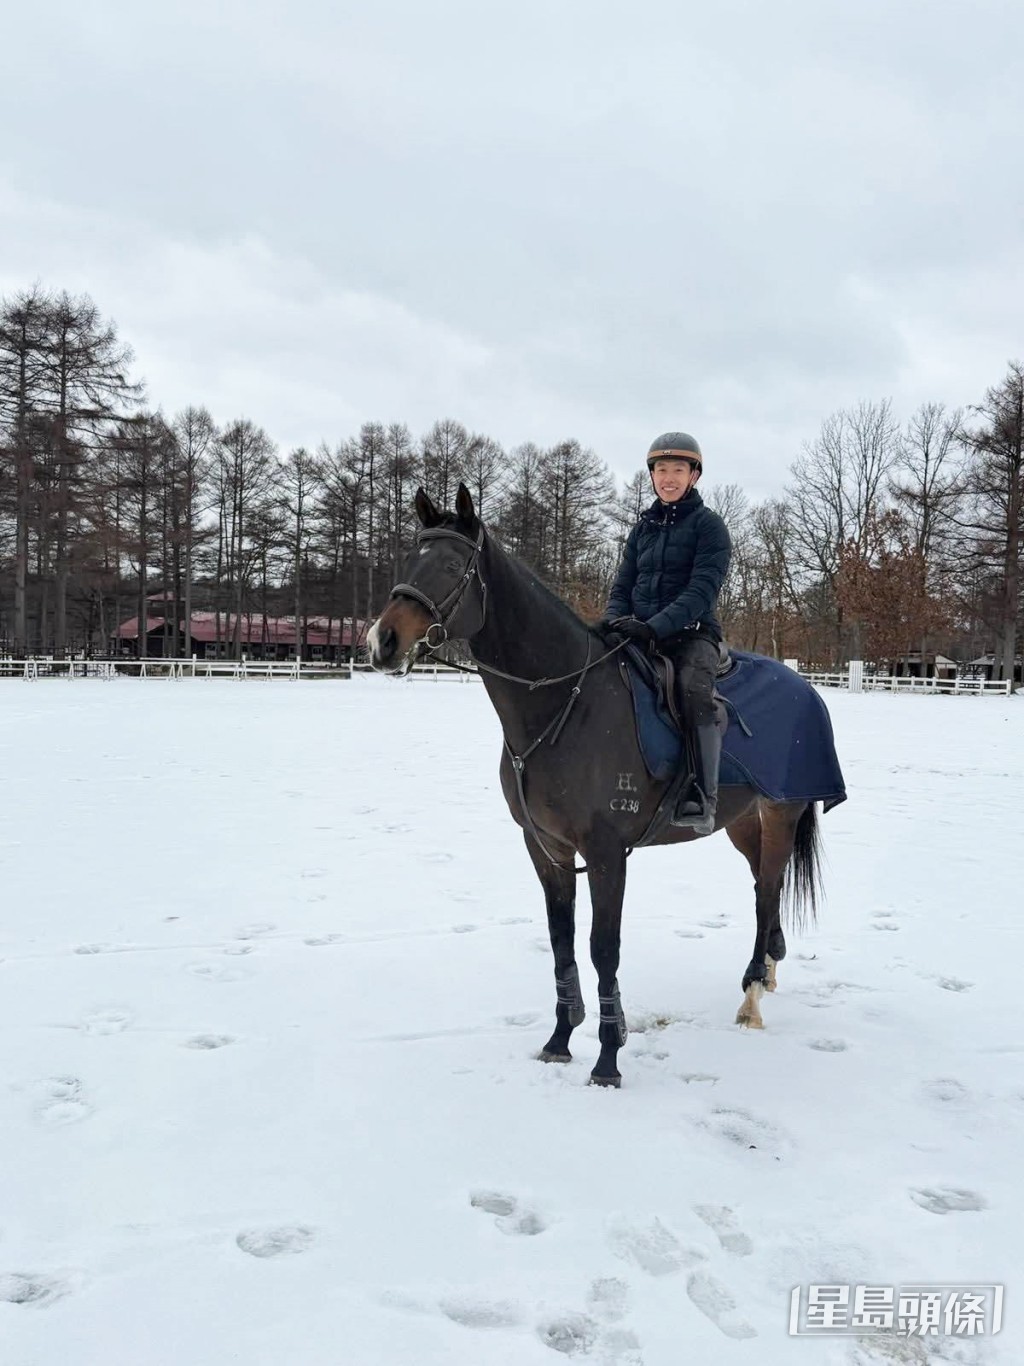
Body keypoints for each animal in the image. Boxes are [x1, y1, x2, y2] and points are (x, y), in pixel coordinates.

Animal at [368, 483, 834, 1087]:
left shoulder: (607, 853)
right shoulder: (547, 847)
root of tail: (804, 685)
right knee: (763, 888)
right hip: (741, 822)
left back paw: (753, 995)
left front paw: (608, 1058)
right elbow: (561, 941)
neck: (565, 703)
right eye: (409, 559)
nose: (381, 641)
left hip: (780, 814)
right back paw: (769, 970)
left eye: (450, 565)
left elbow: (602, 949)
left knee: (767, 889)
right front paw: (560, 1039)